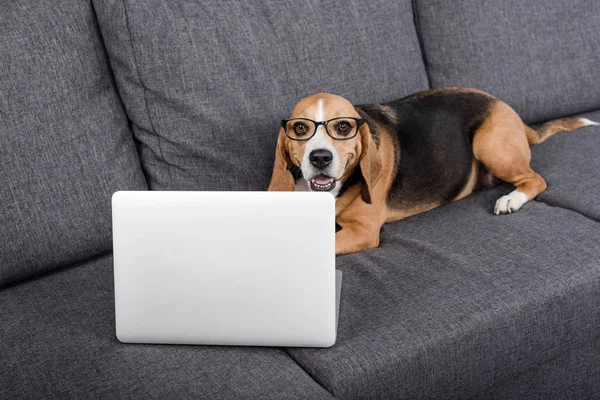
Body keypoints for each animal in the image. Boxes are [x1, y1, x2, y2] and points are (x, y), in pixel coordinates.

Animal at [270, 88, 596, 255]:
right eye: (300, 128)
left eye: (343, 127)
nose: (320, 158)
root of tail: (505, 105)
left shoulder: (362, 231)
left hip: (490, 146)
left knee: (535, 179)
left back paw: (510, 200)